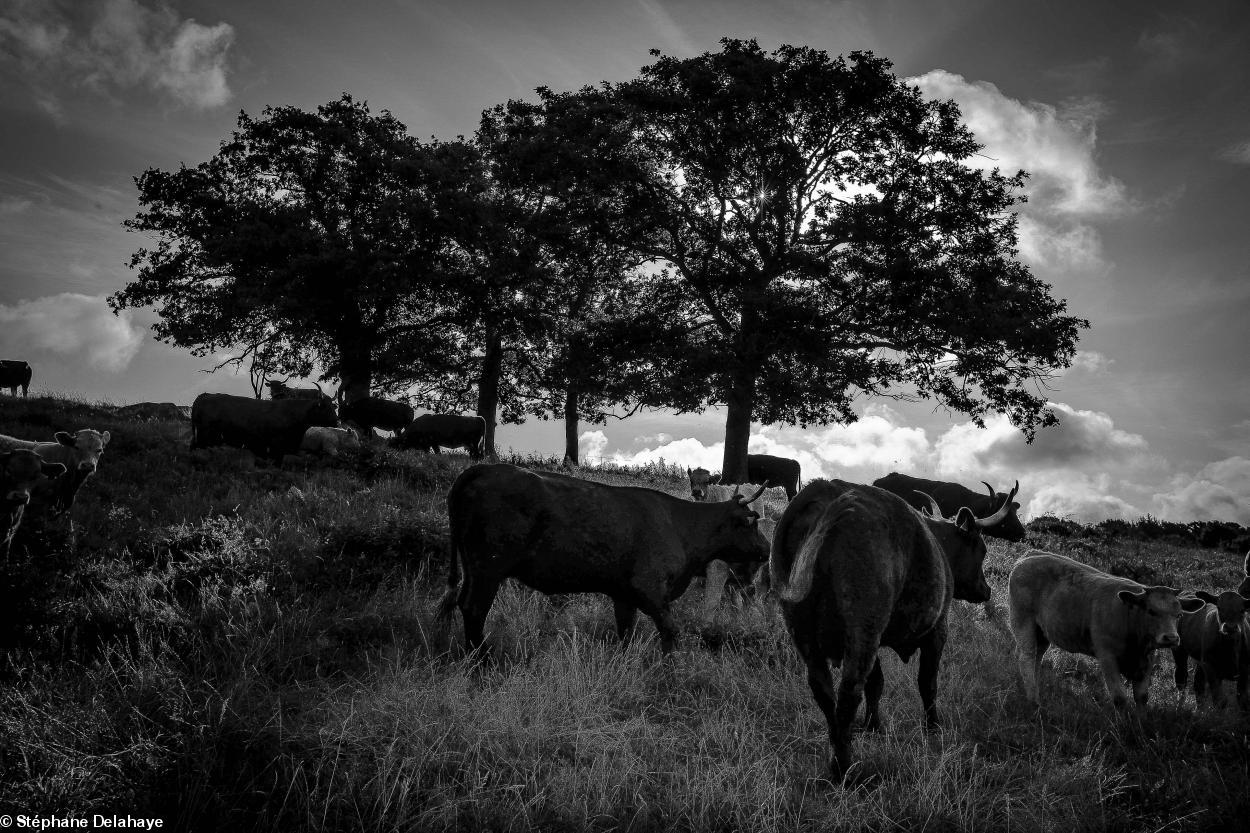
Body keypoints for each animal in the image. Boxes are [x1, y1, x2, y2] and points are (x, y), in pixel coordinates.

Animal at [190, 390, 337, 460]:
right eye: (325, 407)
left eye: (333, 406)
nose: (336, 421)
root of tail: (203, 395)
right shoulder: (276, 447)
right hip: (205, 436)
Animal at [440, 460, 770, 650]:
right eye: (751, 521)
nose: (767, 548)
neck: (681, 526)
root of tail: (482, 468)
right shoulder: (649, 588)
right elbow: (670, 632)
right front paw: (670, 675)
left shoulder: (623, 594)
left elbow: (625, 632)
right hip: (488, 568)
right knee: (474, 609)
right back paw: (482, 661)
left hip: (473, 568)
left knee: (461, 603)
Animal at [1005, 550, 1200, 705]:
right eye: (1151, 611)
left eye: (1179, 615)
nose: (1171, 638)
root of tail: (1030, 555)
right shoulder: (1107, 657)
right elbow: (1120, 698)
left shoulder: (1146, 661)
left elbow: (1142, 697)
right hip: (1023, 621)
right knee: (1027, 657)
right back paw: (1034, 700)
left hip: (1042, 632)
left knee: (1036, 657)